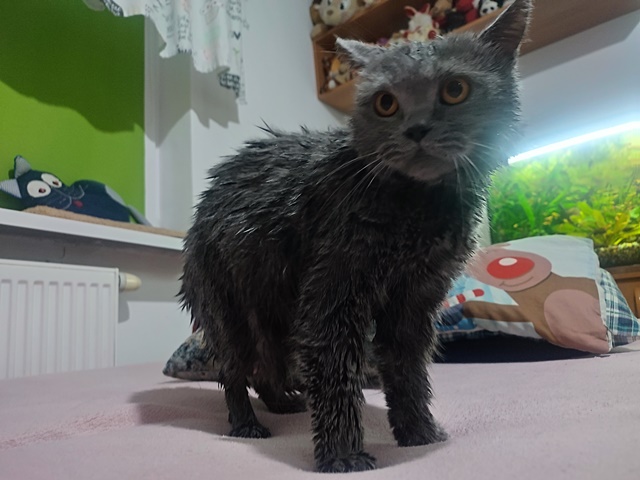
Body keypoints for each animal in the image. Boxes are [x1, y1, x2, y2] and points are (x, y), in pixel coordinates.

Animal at [180, 0, 531, 472]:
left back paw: (284, 403)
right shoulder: (334, 294)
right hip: (227, 307)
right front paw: (343, 455)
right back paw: (247, 425)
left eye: (455, 90)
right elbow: (336, 378)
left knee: (268, 365)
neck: (417, 207)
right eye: (386, 102)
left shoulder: (415, 300)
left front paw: (419, 433)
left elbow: (406, 371)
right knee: (235, 371)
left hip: (275, 313)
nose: (416, 129)